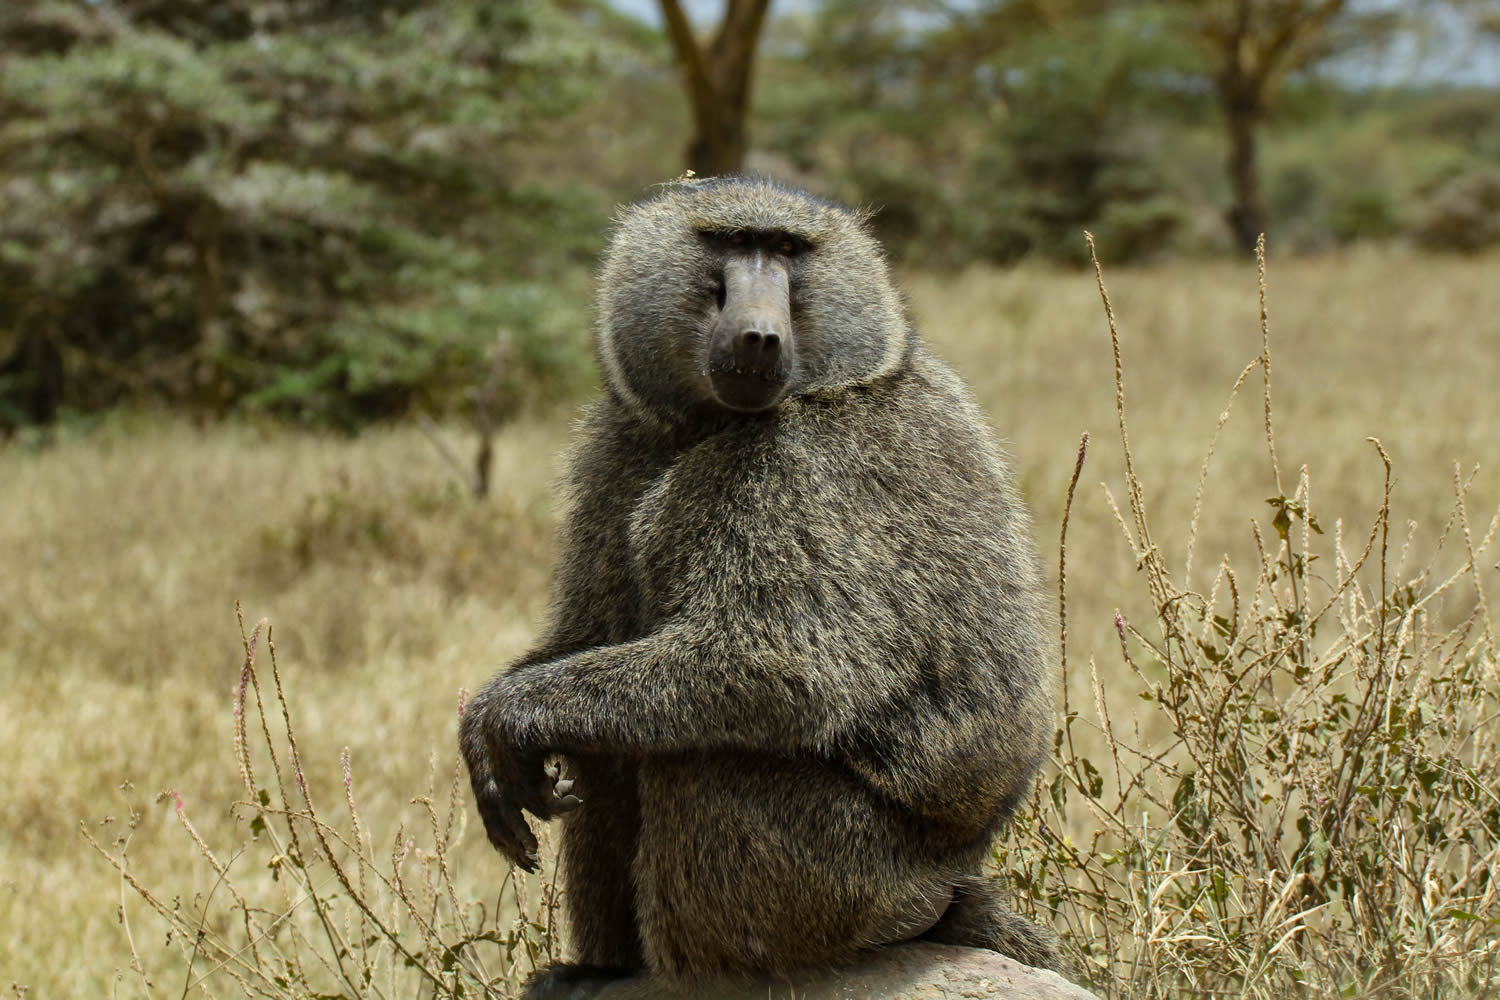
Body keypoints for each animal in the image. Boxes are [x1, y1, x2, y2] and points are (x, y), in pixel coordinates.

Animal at [458, 176, 1061, 997]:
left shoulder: (800, 464)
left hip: (856, 875)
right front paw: (490, 732)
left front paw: (503, 716)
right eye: (731, 243)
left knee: (697, 758)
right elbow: (590, 637)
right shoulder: (621, 441)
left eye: (784, 249)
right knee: (606, 745)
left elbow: (783, 670)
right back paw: (600, 971)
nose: (758, 337)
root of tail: (953, 872)